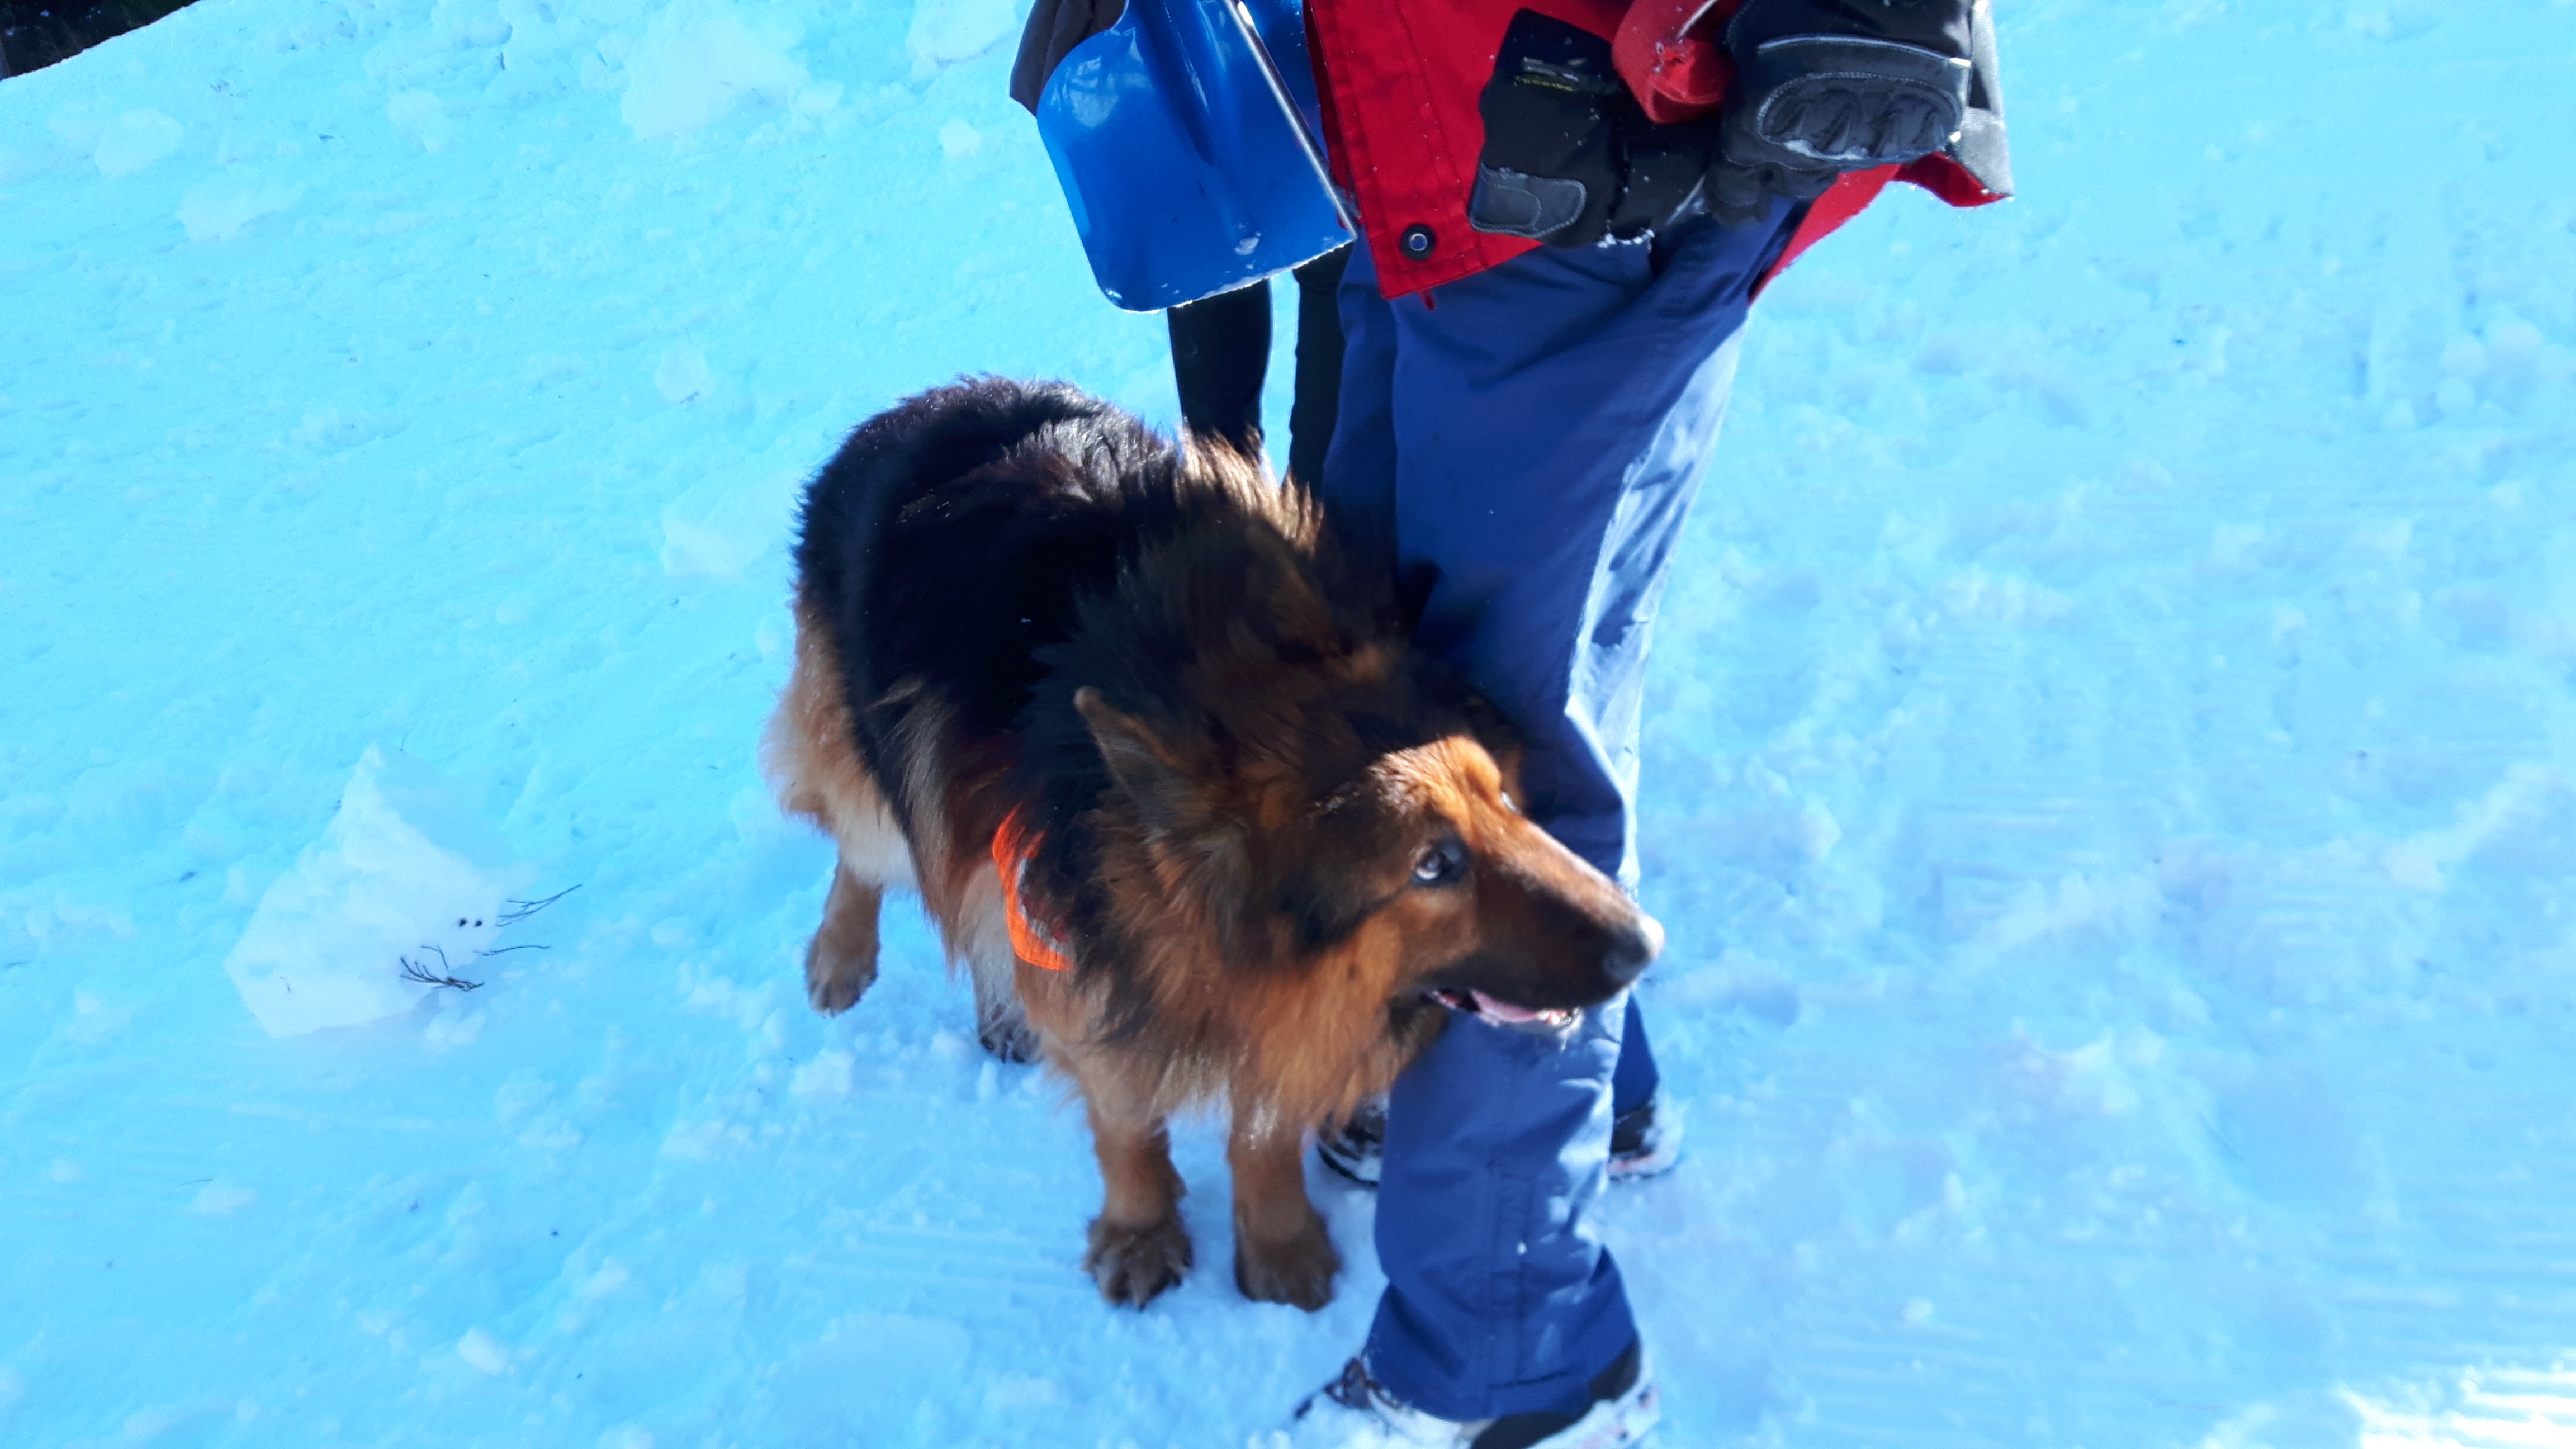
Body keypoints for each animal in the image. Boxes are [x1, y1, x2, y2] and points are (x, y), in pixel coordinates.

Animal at [757, 378, 1649, 1304]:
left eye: (1501, 796)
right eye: (1433, 865)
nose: (1646, 944)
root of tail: (922, 402)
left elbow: (1266, 1118)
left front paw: (1279, 1237)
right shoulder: (1083, 942)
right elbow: (1124, 1116)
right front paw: (1142, 1230)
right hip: (873, 765)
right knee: (868, 846)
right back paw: (842, 956)